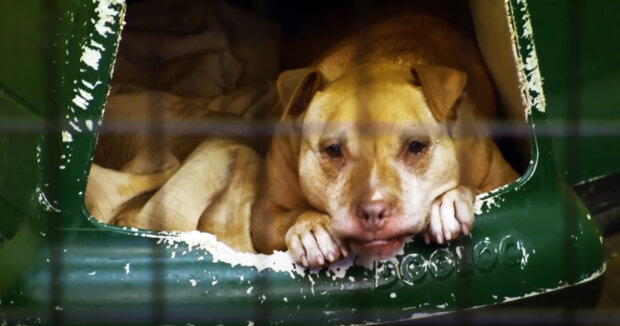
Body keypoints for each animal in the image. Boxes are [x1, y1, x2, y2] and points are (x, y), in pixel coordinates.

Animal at [249, 12, 516, 268]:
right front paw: (310, 227)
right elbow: (291, 215)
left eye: (416, 146)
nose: (373, 211)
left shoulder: (503, 179)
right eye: (333, 150)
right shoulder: (264, 214)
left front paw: (448, 201)